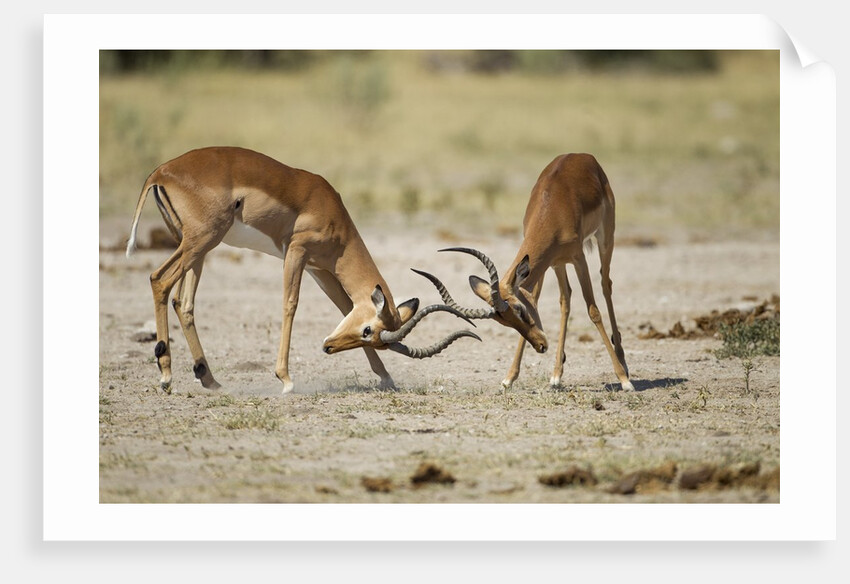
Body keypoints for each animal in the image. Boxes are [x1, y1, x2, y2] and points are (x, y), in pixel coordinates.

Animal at [126, 146, 479, 394]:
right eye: (368, 331)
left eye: (376, 340)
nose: (328, 347)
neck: (332, 213)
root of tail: (161, 172)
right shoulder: (296, 252)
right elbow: (290, 305)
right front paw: (285, 379)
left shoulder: (319, 269)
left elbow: (344, 305)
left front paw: (387, 378)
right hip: (201, 241)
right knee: (159, 280)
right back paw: (166, 376)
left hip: (195, 246)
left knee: (183, 302)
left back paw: (209, 379)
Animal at [413, 153, 634, 391]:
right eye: (504, 321)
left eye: (519, 310)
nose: (541, 346)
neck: (554, 209)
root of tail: (584, 156)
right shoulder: (545, 263)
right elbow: (536, 299)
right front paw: (509, 378)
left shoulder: (579, 259)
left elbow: (593, 310)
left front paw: (624, 380)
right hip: (556, 264)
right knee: (565, 298)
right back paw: (556, 375)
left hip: (605, 237)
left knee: (605, 284)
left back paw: (623, 365)